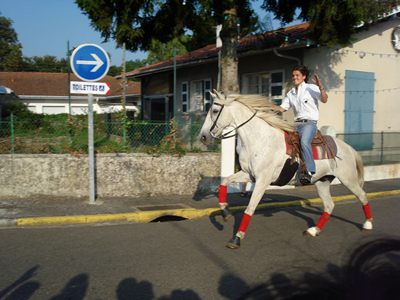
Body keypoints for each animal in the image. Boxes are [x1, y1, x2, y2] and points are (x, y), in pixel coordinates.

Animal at [198, 91, 374, 248]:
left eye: (215, 110)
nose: (203, 137)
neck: (260, 138)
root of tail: (349, 148)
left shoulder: (262, 180)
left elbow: (250, 208)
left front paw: (236, 238)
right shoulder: (249, 175)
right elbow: (225, 182)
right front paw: (225, 213)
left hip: (348, 179)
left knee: (363, 196)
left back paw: (368, 225)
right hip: (322, 182)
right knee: (329, 205)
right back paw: (313, 230)